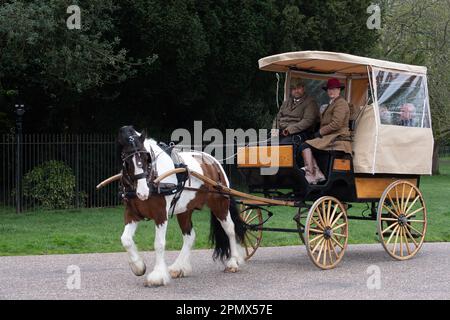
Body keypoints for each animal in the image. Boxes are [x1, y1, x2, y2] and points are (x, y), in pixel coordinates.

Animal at [117, 126, 246, 286]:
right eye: (126, 159)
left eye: (147, 158)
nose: (142, 192)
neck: (154, 178)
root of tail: (213, 162)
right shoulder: (132, 213)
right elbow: (126, 239)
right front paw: (138, 266)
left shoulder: (160, 214)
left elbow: (159, 244)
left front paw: (157, 276)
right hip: (185, 210)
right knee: (189, 236)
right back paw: (179, 267)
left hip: (220, 205)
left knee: (230, 229)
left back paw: (233, 262)